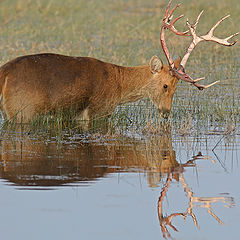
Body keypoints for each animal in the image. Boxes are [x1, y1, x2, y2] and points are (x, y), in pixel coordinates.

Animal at [0, 0, 237, 127]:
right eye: (165, 85)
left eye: (176, 87)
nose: (166, 112)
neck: (119, 85)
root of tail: (5, 73)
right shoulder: (98, 111)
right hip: (23, 110)